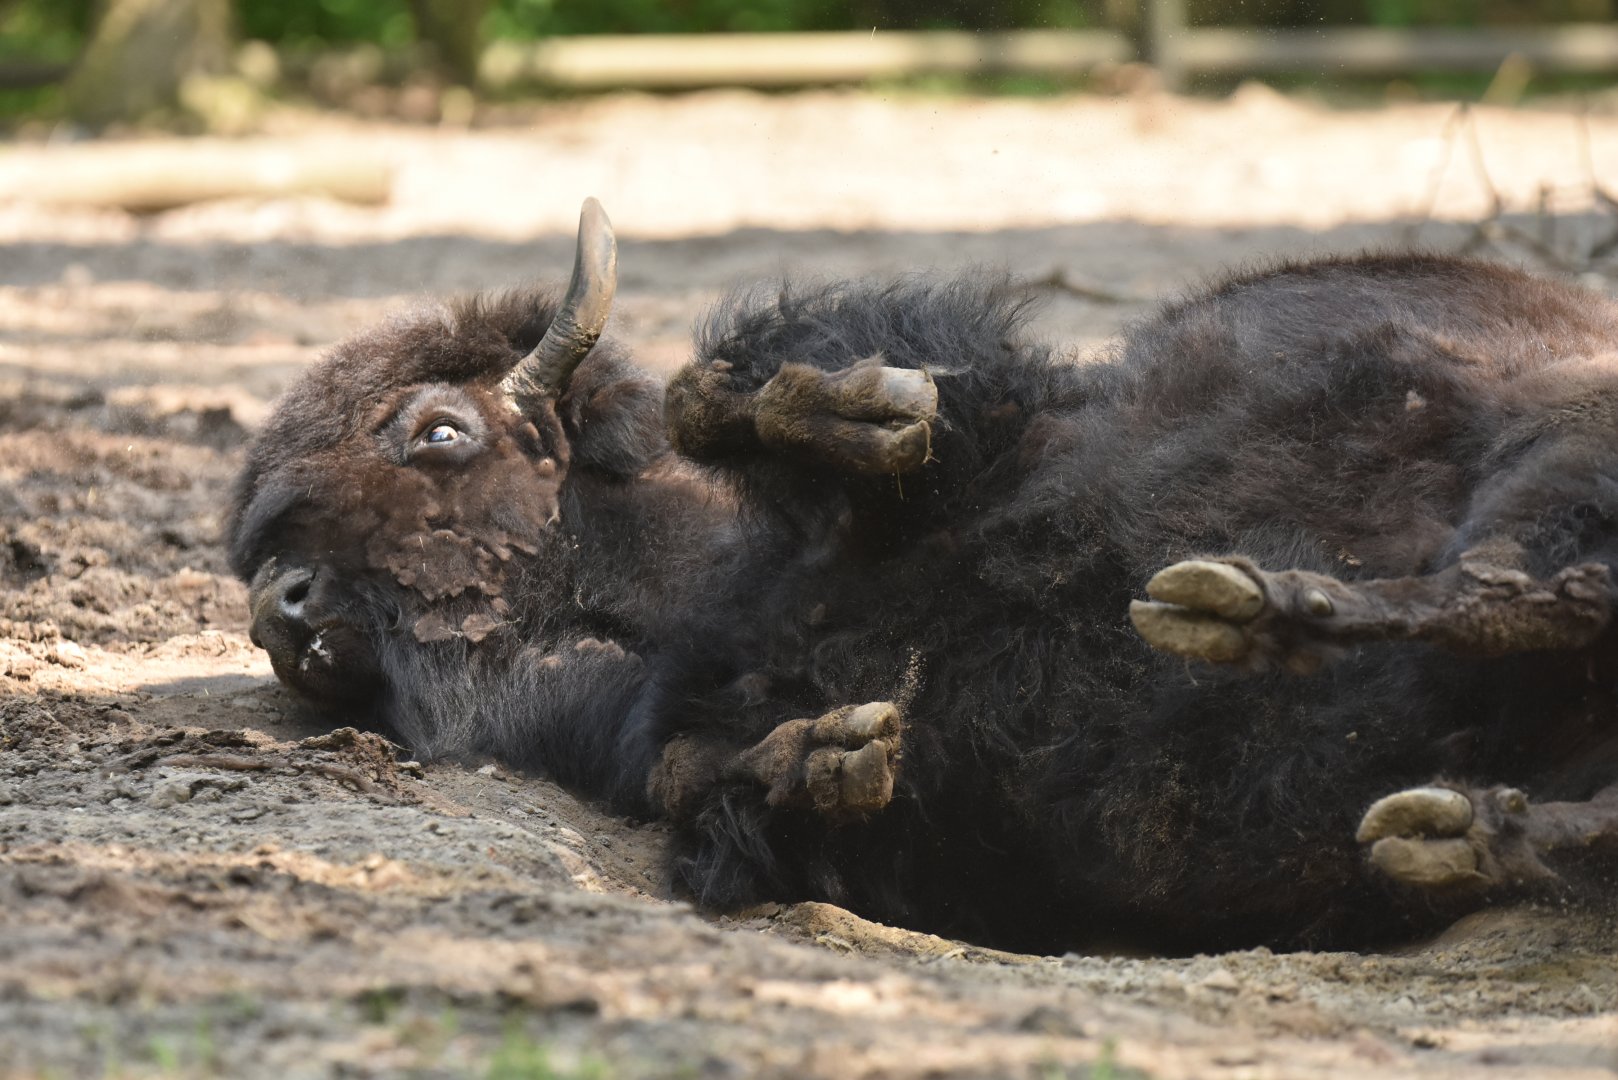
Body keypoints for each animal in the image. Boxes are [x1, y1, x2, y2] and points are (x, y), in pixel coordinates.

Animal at [228, 200, 1618, 954]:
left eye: (438, 431)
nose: (280, 603)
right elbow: (702, 777)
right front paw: (838, 751)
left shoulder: (1019, 419)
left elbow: (724, 396)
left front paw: (881, 415)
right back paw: (1438, 822)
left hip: (1554, 440)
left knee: (1519, 584)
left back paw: (1244, 608)